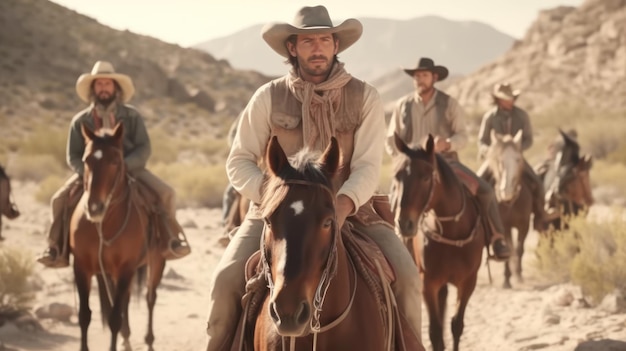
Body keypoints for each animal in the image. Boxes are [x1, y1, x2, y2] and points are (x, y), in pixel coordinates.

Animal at [70, 123, 166, 351]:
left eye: (115, 161)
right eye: (86, 160)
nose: (94, 207)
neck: (105, 226)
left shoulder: (126, 268)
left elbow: (114, 318)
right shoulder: (82, 267)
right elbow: (84, 316)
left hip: (156, 262)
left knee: (150, 297)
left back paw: (149, 341)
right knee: (126, 301)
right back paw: (127, 338)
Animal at [390, 134, 482, 351]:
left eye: (425, 177)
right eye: (397, 176)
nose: (404, 223)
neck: (452, 231)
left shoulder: (469, 282)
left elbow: (456, 325)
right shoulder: (428, 283)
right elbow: (435, 334)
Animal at [480, 131, 528, 290]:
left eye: (518, 160)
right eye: (499, 160)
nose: (506, 191)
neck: (509, 203)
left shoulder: (524, 226)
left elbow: (519, 249)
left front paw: (518, 276)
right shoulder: (504, 227)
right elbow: (508, 249)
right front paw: (507, 280)